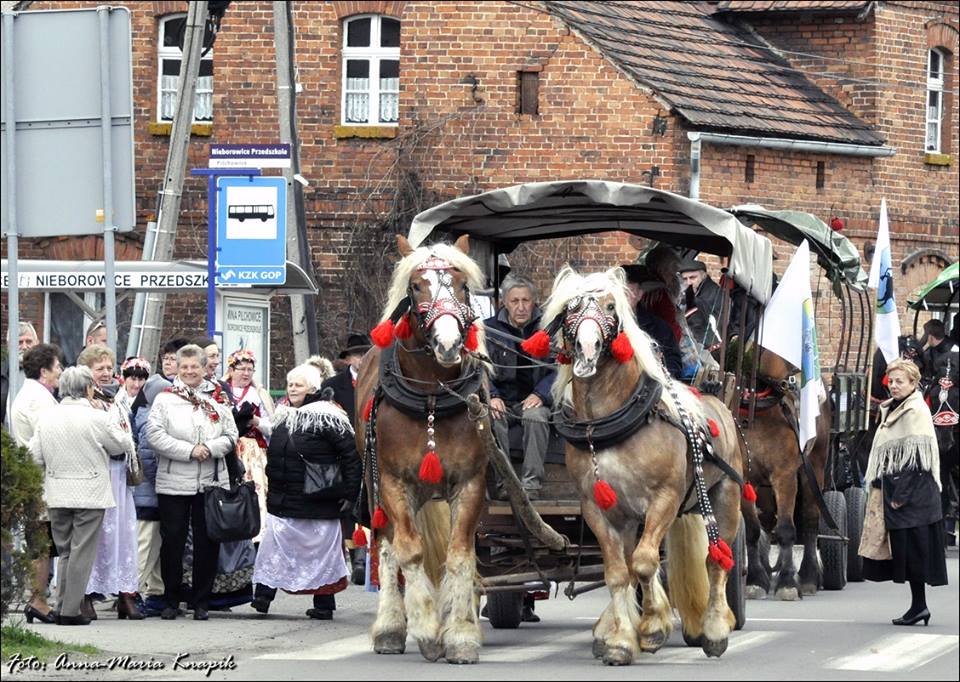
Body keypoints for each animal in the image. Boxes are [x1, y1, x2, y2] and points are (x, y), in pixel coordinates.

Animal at [355, 234, 490, 665]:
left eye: (461, 284)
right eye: (416, 286)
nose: (448, 343)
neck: (431, 397)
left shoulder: (470, 483)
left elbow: (459, 554)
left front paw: (460, 634)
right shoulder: (394, 484)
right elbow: (409, 552)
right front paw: (429, 632)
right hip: (374, 485)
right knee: (386, 547)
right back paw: (390, 628)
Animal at [532, 265, 744, 665]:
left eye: (610, 306)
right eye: (571, 307)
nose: (587, 347)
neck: (609, 422)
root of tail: (718, 402)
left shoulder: (665, 499)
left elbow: (645, 563)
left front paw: (652, 628)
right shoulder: (598, 507)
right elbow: (619, 572)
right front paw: (620, 641)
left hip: (725, 497)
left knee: (717, 561)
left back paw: (714, 630)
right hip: (632, 517)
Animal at [738, 347, 831, 600]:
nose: (815, 392)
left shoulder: (785, 475)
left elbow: (787, 530)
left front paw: (788, 582)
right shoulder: (744, 477)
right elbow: (752, 530)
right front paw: (756, 580)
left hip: (815, 465)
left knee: (810, 521)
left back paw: (808, 577)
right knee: (766, 520)